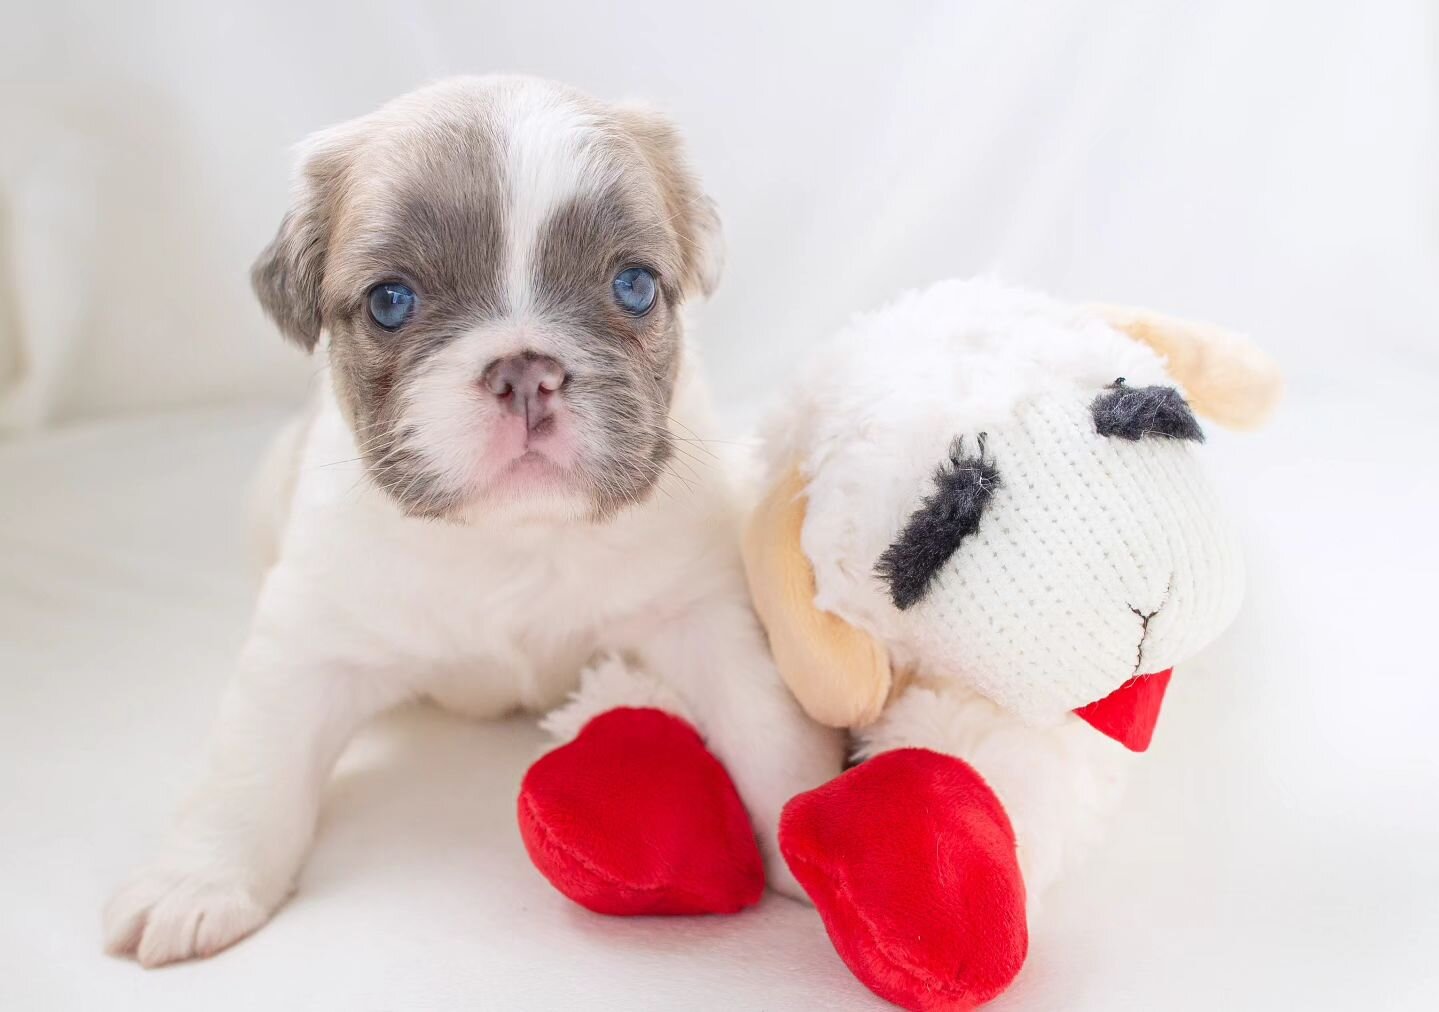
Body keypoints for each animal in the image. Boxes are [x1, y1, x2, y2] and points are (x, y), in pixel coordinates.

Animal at [101, 77, 840, 967]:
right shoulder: (307, 644)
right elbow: (252, 764)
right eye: (391, 302)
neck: (510, 536)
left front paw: (806, 826)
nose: (524, 369)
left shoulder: (700, 613)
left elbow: (767, 731)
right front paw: (200, 878)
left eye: (633, 287)